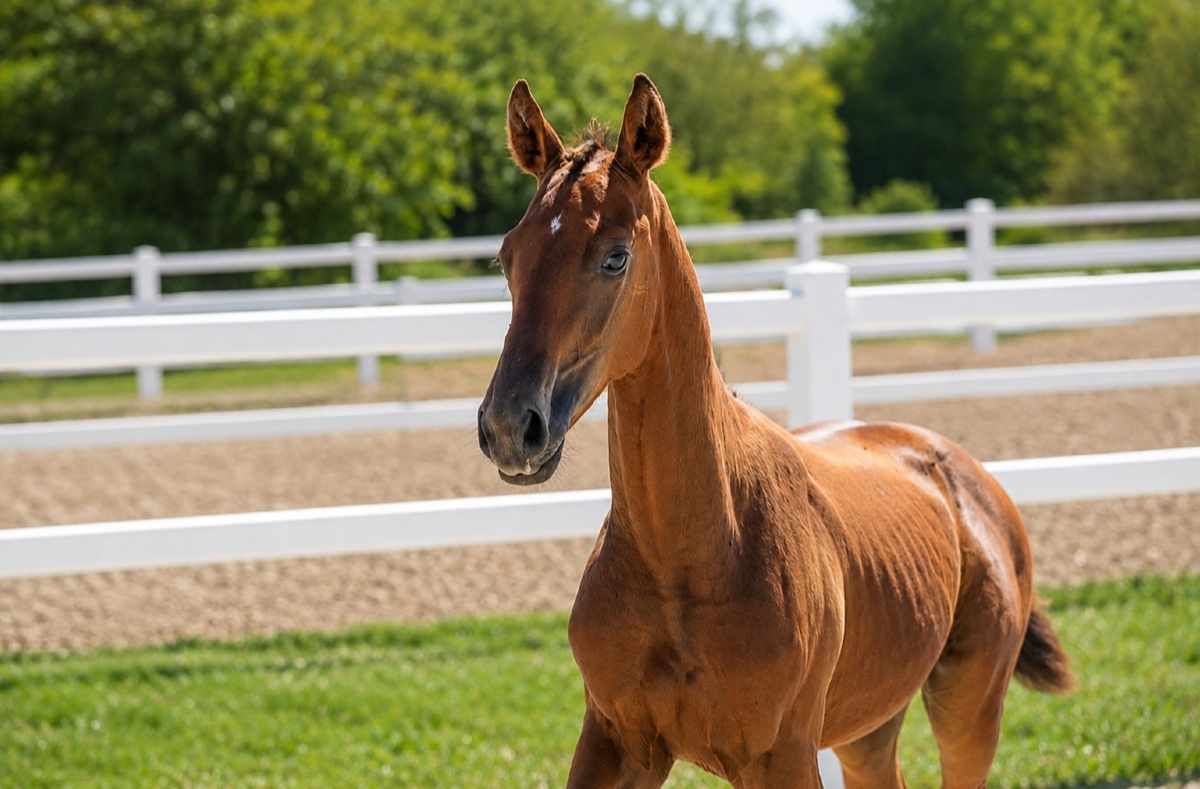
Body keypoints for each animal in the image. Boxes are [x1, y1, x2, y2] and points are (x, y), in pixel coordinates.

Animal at [477, 74, 1073, 788]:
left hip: (969, 709)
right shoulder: (614, 739)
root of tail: (966, 474)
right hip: (868, 730)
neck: (694, 556)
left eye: (616, 258)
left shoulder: (782, 752)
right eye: (507, 258)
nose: (510, 426)